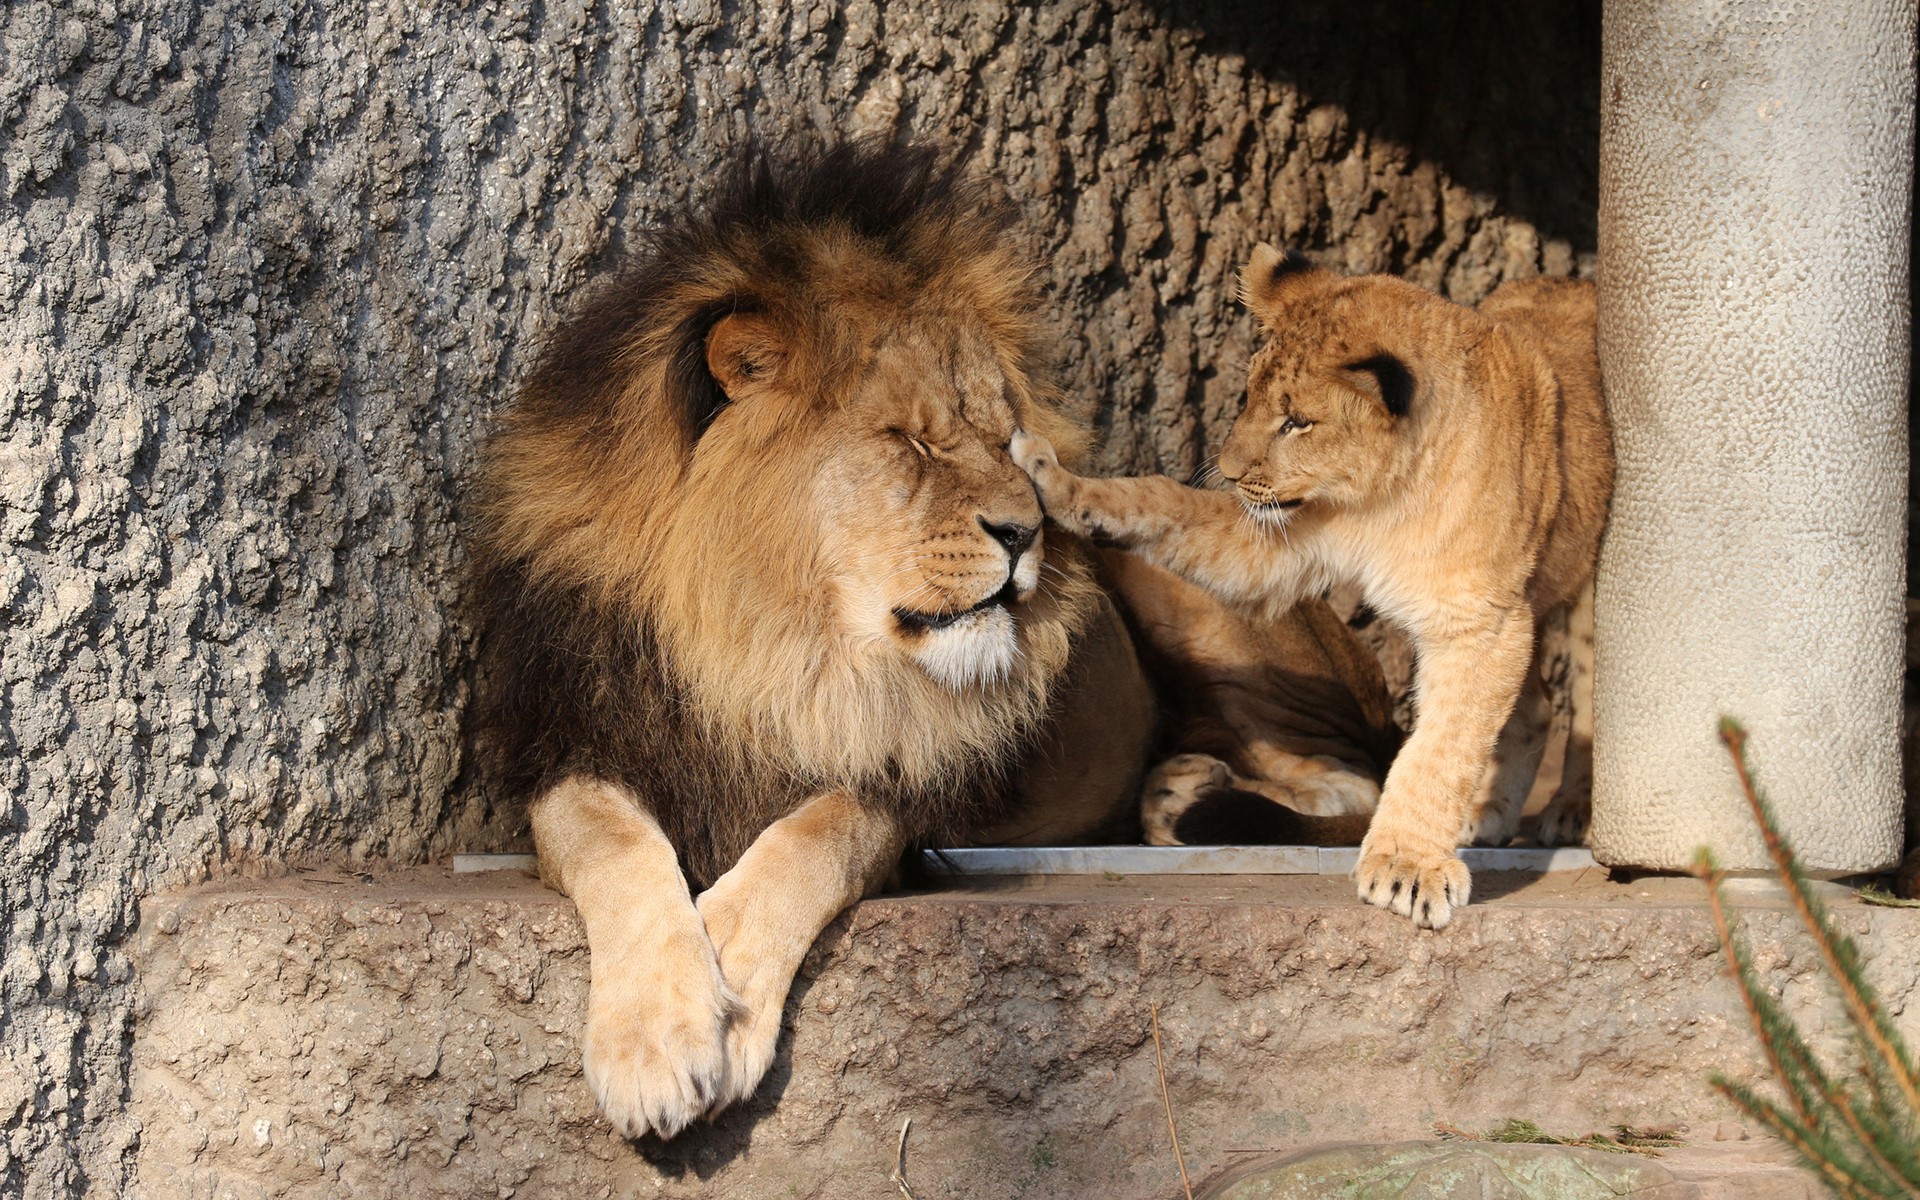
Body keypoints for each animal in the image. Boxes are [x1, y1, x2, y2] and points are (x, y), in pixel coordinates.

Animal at [471, 143, 1400, 1139]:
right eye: (911, 442)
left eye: (1008, 441)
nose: (1029, 531)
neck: (775, 648)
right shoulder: (574, 746)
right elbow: (610, 842)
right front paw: (656, 1040)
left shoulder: (902, 794)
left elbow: (813, 840)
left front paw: (730, 987)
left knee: (1355, 783)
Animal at [1013, 247, 1613, 930]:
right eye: (1249, 397)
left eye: (1298, 422)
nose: (1228, 472)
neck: (1384, 499)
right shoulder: (1282, 540)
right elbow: (1163, 503)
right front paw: (1054, 479)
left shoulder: (1481, 624)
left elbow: (1439, 748)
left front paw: (1406, 868)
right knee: (1534, 707)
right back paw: (1488, 815)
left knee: (1588, 693)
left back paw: (1572, 811)